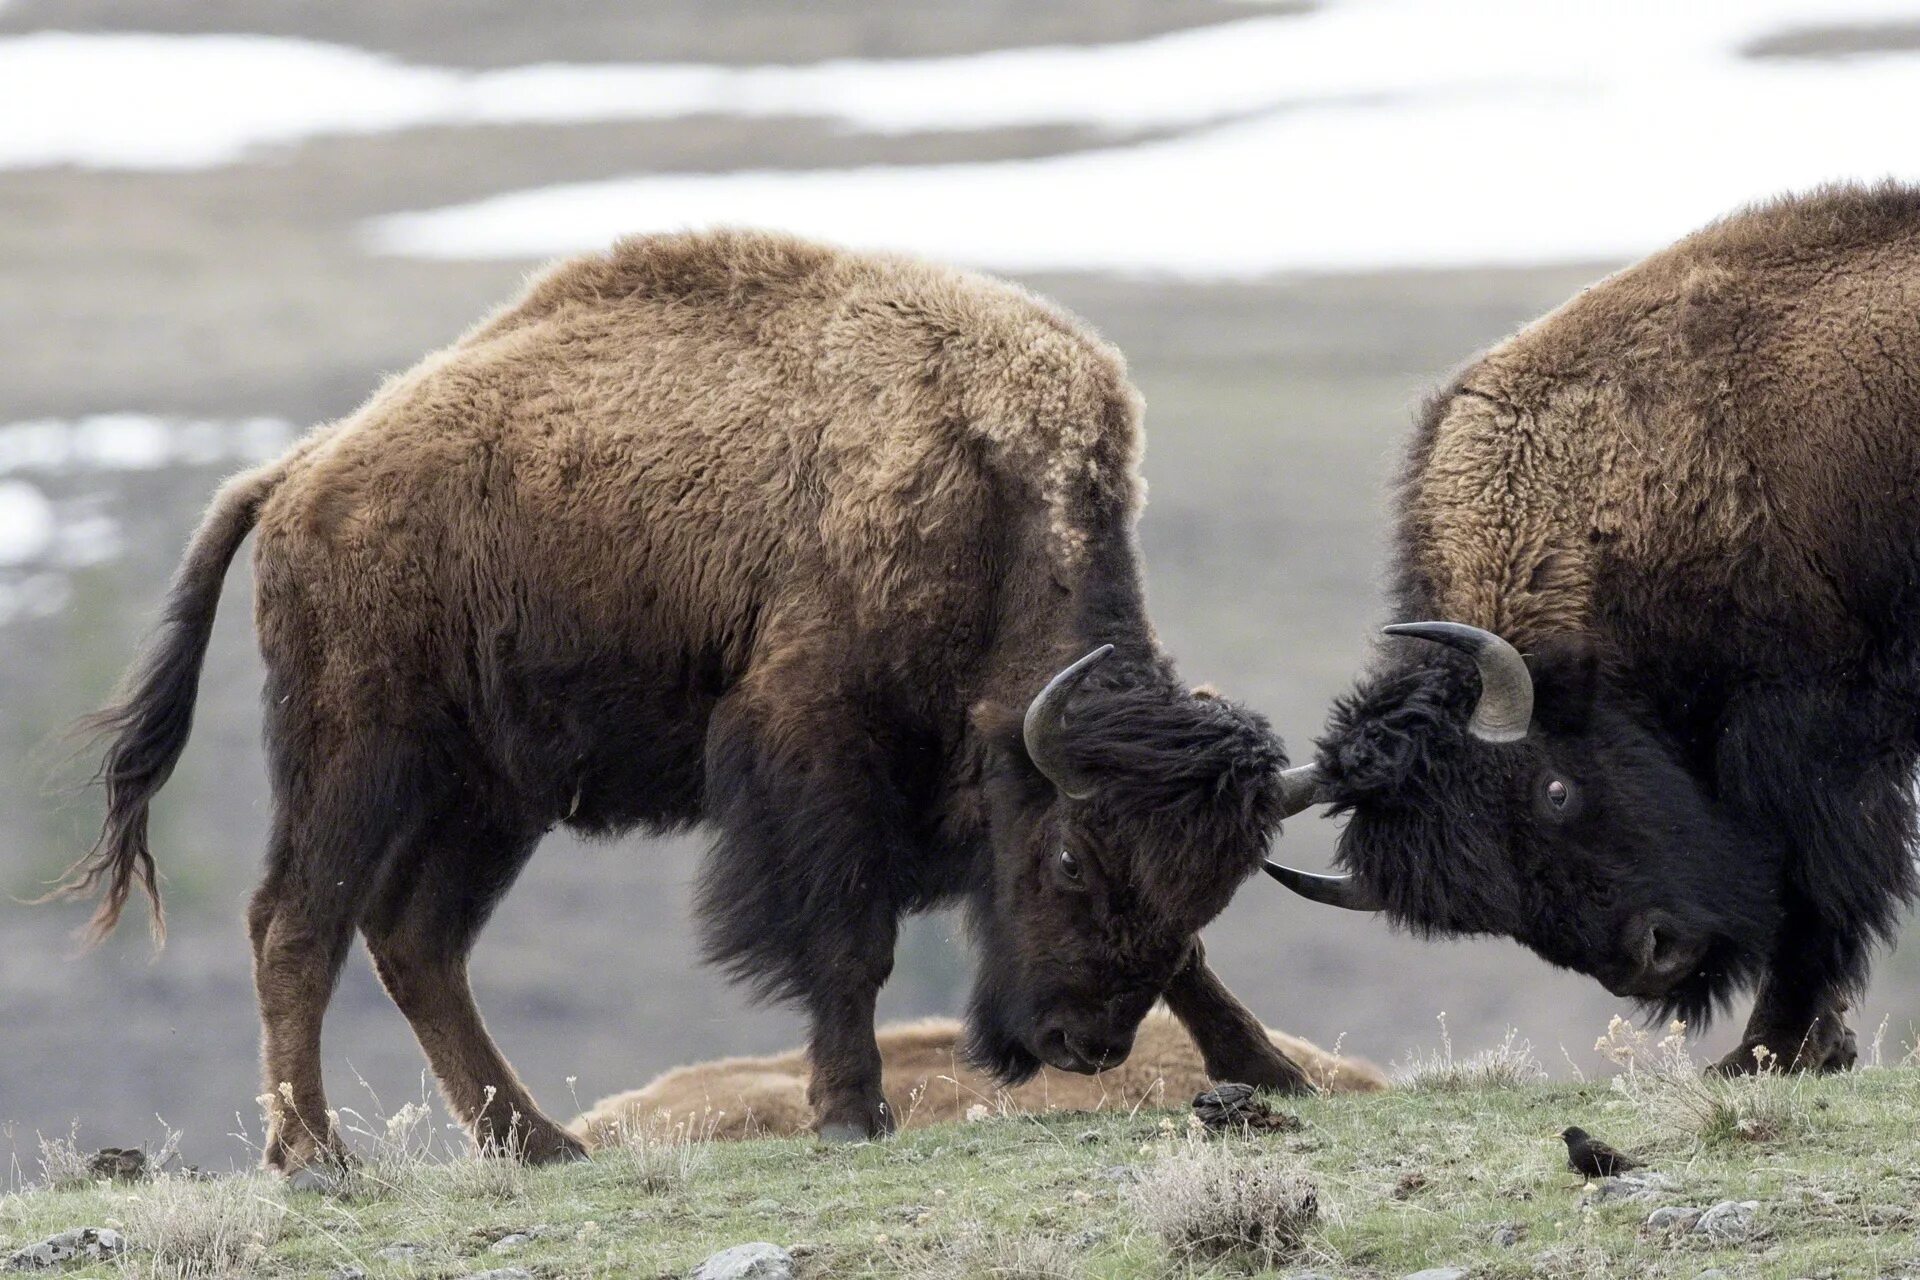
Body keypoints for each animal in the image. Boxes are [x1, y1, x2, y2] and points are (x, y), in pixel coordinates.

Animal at [63, 227, 1320, 1182]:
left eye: (1211, 879)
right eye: (1066, 860)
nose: (1083, 1043)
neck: (984, 491)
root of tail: (302, 471)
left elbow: (1190, 961)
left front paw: (1271, 1069)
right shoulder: (818, 747)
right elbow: (850, 938)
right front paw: (850, 1112)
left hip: (495, 795)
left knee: (417, 938)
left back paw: (540, 1142)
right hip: (357, 753)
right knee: (298, 923)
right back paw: (319, 1159)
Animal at [1267, 185, 1920, 1074]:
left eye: (1557, 790)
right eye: (1482, 900)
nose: (1652, 955)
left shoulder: (1811, 735)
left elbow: (1818, 890)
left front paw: (1768, 1050)